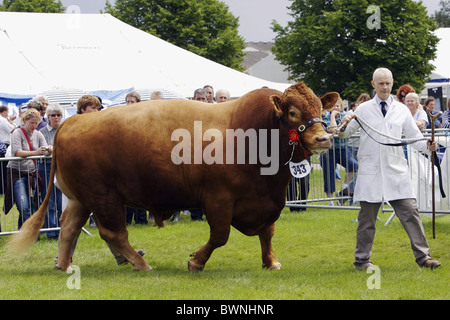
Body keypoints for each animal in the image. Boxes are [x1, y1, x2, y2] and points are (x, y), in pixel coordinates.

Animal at [7, 81, 338, 272]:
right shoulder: (218, 199)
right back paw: (141, 263)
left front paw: (270, 261)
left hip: (81, 198)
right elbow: (220, 235)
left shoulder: (267, 199)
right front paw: (195, 261)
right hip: (105, 197)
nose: (323, 138)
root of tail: (73, 121)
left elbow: (267, 232)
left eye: (320, 107)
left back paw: (64, 266)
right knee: (112, 233)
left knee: (69, 227)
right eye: (293, 113)